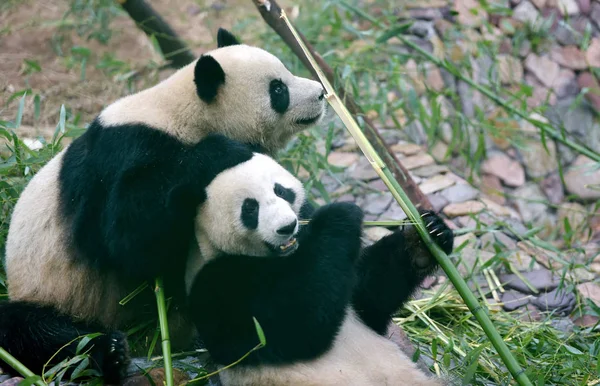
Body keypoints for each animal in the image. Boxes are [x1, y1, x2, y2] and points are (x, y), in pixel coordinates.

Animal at [1, 27, 328, 382]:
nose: (321, 93)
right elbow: (126, 237)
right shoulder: (124, 152)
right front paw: (220, 150)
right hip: (48, 290)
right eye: (278, 89)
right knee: (34, 332)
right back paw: (109, 352)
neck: (184, 113)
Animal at [185, 152, 452, 384]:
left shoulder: (341, 279)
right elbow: (295, 326)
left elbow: (370, 296)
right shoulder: (218, 283)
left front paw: (424, 237)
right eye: (250, 208)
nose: (288, 226)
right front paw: (339, 214)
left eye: (281, 191)